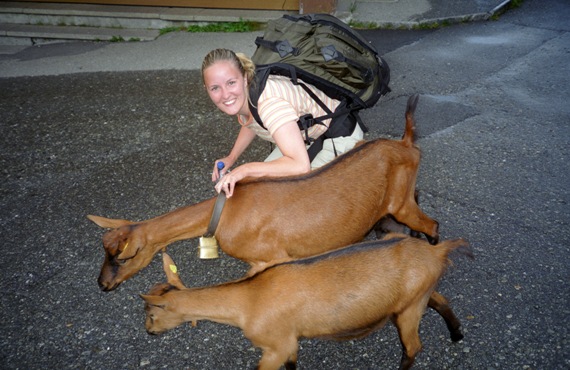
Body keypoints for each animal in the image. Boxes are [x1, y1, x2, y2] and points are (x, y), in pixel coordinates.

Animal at [86, 93, 438, 292]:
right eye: (103, 250)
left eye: (124, 255)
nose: (103, 285)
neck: (225, 211)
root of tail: (407, 143)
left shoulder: (271, 258)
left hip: (401, 202)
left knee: (431, 225)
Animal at [143, 234, 470, 370]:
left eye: (150, 314)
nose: (149, 332)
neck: (247, 300)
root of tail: (437, 251)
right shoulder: (290, 340)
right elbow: (292, 365)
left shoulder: (275, 344)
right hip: (419, 295)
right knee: (440, 300)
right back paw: (457, 334)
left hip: (408, 309)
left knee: (413, 346)